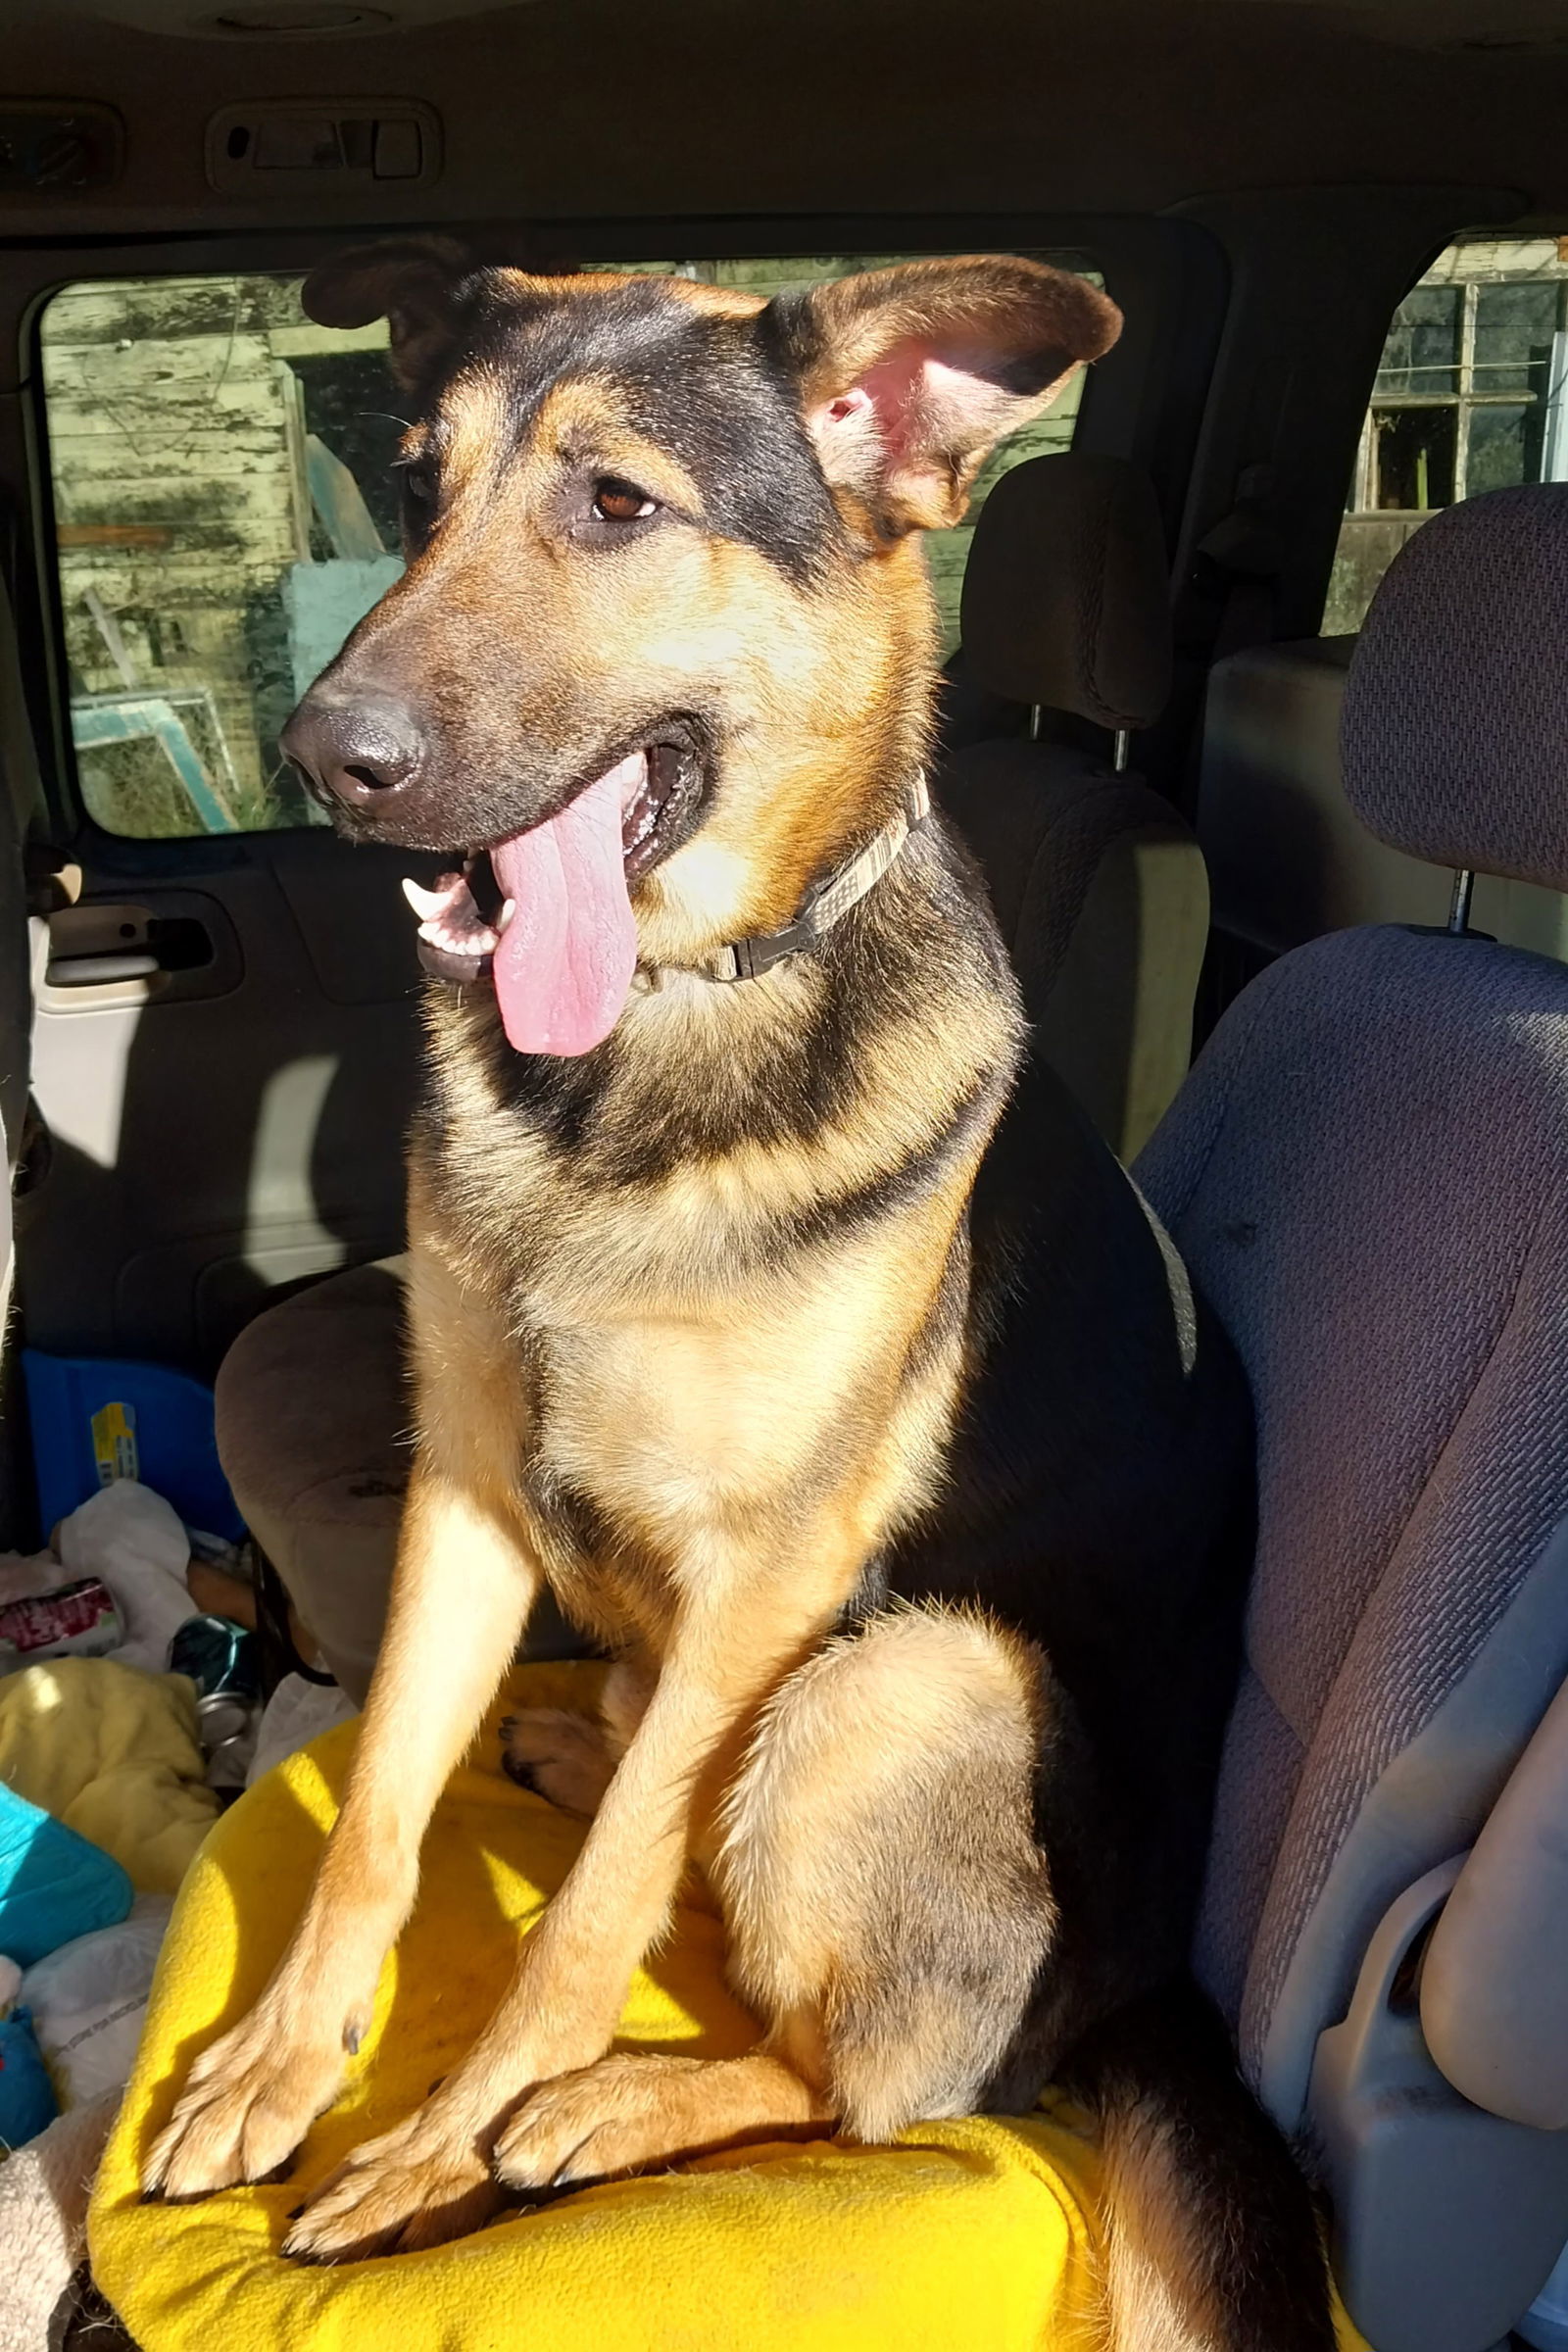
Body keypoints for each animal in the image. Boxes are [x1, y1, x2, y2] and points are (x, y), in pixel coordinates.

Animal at [143, 248, 1335, 2342]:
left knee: (877, 2078)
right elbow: (374, 1824)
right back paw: (567, 1739)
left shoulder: (772, 1574)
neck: (654, 1041)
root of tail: (1149, 1989)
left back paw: (614, 2104)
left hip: (902, 1680)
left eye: (618, 504)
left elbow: (589, 1921)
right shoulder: (467, 1485)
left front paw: (441, 2154)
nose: (326, 763)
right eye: (415, 488)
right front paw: (283, 2063)